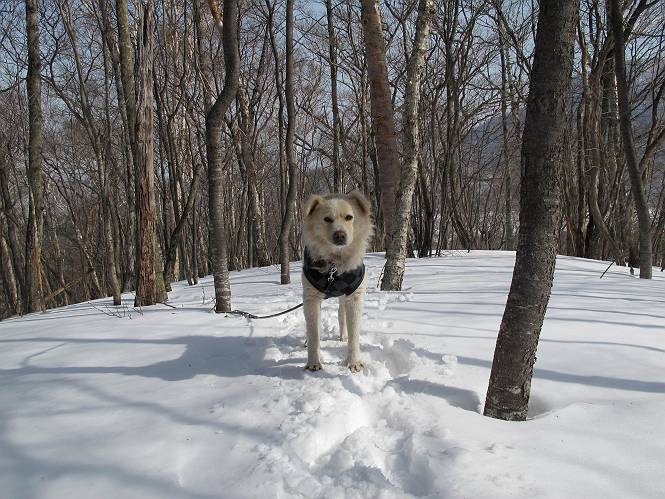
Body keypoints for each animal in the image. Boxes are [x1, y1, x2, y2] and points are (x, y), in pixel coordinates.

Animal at [301, 190, 373, 373]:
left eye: (349, 217)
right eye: (327, 219)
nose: (340, 235)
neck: (334, 264)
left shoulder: (354, 296)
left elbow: (354, 335)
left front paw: (354, 362)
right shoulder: (311, 298)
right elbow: (313, 333)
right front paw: (313, 362)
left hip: (343, 298)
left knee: (341, 314)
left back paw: (343, 336)